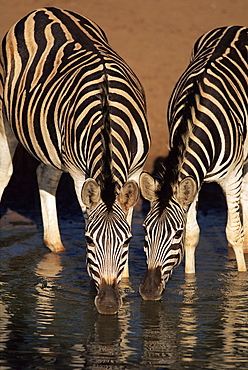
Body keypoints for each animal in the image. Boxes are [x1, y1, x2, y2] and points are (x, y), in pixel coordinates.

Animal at [0, 7, 149, 314]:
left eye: (128, 241)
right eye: (88, 241)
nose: (108, 304)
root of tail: (44, 9)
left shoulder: (135, 170)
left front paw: (125, 285)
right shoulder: (81, 175)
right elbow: (86, 214)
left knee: (45, 174)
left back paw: (56, 246)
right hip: (5, 116)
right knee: (4, 172)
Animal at [139, 26, 247, 300]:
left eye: (174, 234)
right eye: (144, 231)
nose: (149, 291)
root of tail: (235, 28)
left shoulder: (231, 177)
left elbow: (233, 232)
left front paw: (241, 280)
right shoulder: (192, 180)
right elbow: (193, 234)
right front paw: (190, 286)